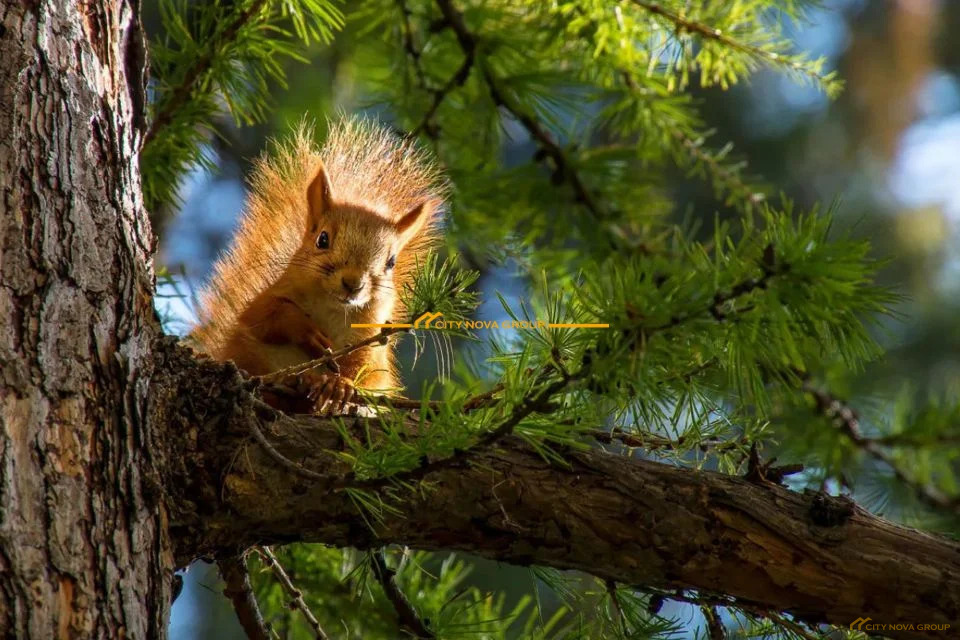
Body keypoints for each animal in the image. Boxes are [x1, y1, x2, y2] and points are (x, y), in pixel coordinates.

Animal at [192, 117, 446, 412]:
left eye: (391, 262)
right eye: (322, 239)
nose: (353, 283)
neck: (332, 308)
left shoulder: (369, 341)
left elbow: (367, 369)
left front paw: (339, 386)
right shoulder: (266, 299)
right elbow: (265, 315)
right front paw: (307, 331)